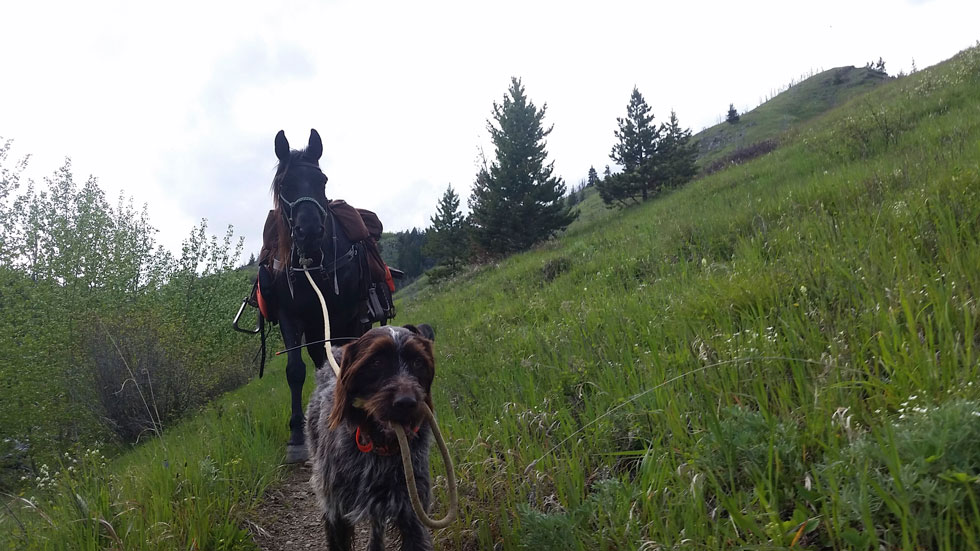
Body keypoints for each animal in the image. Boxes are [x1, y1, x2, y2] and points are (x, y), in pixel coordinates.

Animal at [259, 129, 373, 462]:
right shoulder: (291, 318)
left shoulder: (346, 314)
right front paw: (297, 436)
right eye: (285, 185)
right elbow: (295, 371)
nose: (308, 231)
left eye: (322, 180)